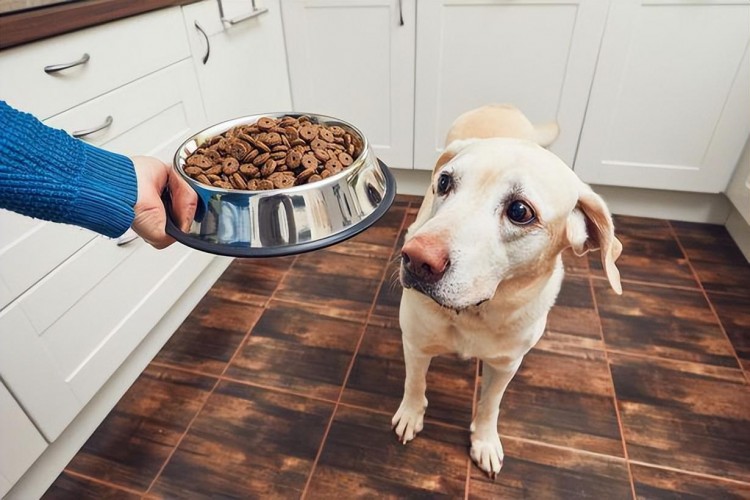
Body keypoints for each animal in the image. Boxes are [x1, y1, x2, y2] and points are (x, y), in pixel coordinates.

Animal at [394, 104, 624, 476]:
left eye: (519, 211)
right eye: (444, 182)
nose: (415, 259)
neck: (476, 312)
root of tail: (500, 106)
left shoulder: (506, 365)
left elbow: (491, 404)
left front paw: (485, 441)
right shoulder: (416, 343)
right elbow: (415, 383)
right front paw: (411, 414)